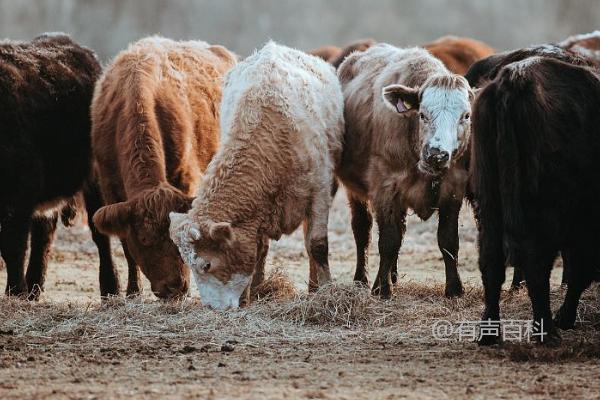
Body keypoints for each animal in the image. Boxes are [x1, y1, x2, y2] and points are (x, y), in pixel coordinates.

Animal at [169, 42, 344, 310]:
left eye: (207, 264)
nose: (211, 308)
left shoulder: (320, 190)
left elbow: (317, 244)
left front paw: (325, 291)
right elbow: (258, 249)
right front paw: (251, 294)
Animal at [338, 45, 474, 298]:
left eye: (466, 115)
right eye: (423, 114)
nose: (436, 154)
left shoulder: (453, 189)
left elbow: (448, 240)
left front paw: (454, 288)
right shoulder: (385, 189)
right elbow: (388, 240)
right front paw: (382, 289)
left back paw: (392, 275)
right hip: (355, 191)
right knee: (362, 231)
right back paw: (362, 279)